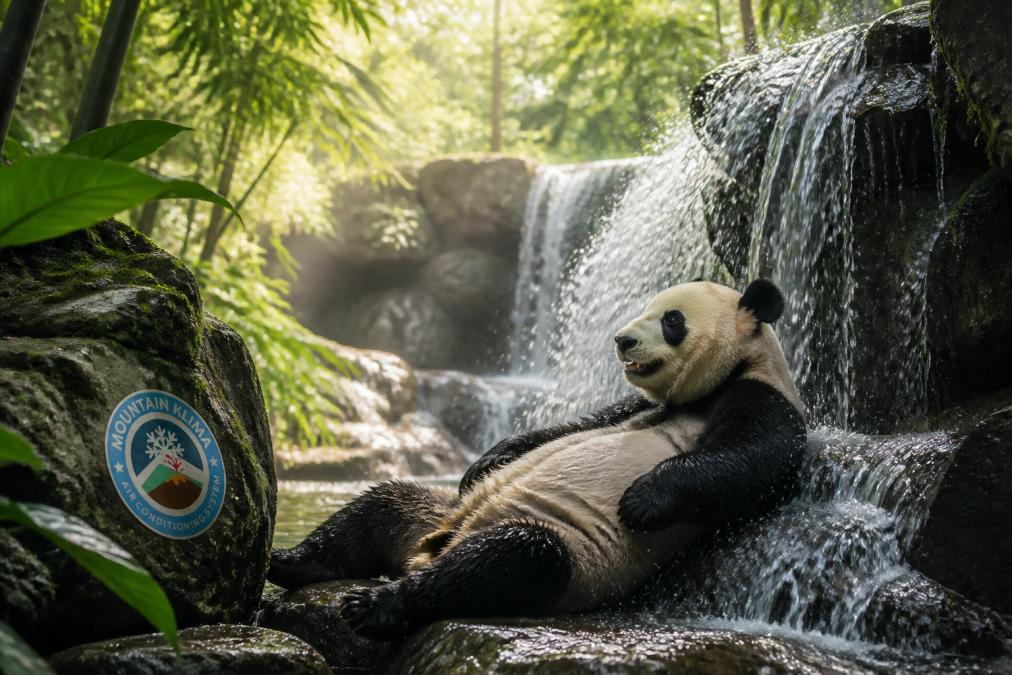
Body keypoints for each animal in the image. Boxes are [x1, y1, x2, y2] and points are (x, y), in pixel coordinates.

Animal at [268, 279, 807, 639]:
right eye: (645, 309)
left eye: (671, 319)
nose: (622, 340)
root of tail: (429, 549)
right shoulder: (637, 404)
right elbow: (573, 426)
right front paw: (485, 463)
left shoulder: (762, 398)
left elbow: (748, 461)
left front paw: (643, 498)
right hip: (436, 513)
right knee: (384, 502)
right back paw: (293, 561)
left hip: (571, 555)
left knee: (511, 559)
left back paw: (378, 602)